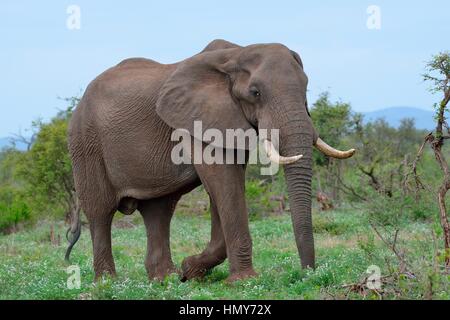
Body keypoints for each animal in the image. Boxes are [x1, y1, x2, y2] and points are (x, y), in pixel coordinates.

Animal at [67, 38, 356, 282]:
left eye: (306, 88)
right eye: (255, 93)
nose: (308, 274)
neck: (235, 54)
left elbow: (225, 186)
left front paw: (190, 271)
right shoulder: (198, 119)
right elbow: (223, 180)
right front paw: (243, 281)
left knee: (158, 210)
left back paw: (165, 279)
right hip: (85, 142)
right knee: (100, 211)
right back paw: (108, 283)